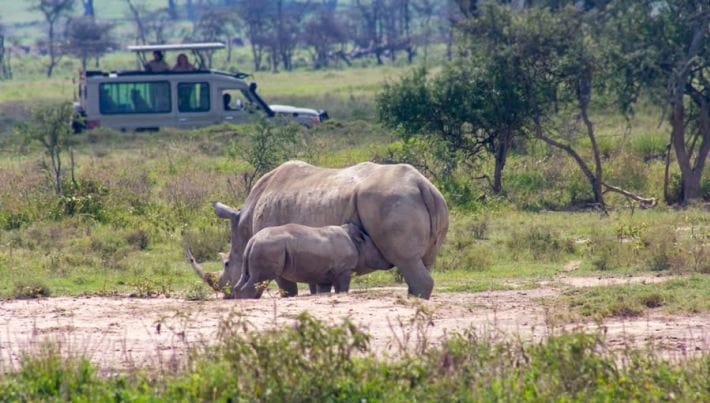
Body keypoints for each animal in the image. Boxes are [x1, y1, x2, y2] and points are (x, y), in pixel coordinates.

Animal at [189, 160, 448, 299]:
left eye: (226, 264)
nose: (228, 295)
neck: (243, 223)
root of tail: (423, 185)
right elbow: (315, 286)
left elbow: (287, 288)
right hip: (428, 200)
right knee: (422, 262)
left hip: (390, 200)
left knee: (406, 260)